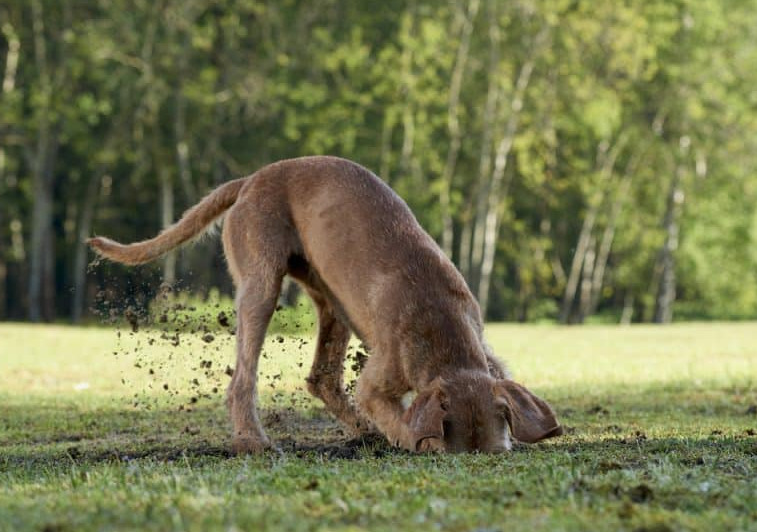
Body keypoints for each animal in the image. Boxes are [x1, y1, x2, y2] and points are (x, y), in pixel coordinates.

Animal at [88, 155, 560, 454]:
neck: (444, 333)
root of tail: (251, 179)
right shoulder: (378, 382)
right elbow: (402, 422)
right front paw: (413, 440)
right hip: (261, 283)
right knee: (243, 378)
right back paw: (252, 440)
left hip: (332, 302)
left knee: (322, 378)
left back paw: (361, 431)